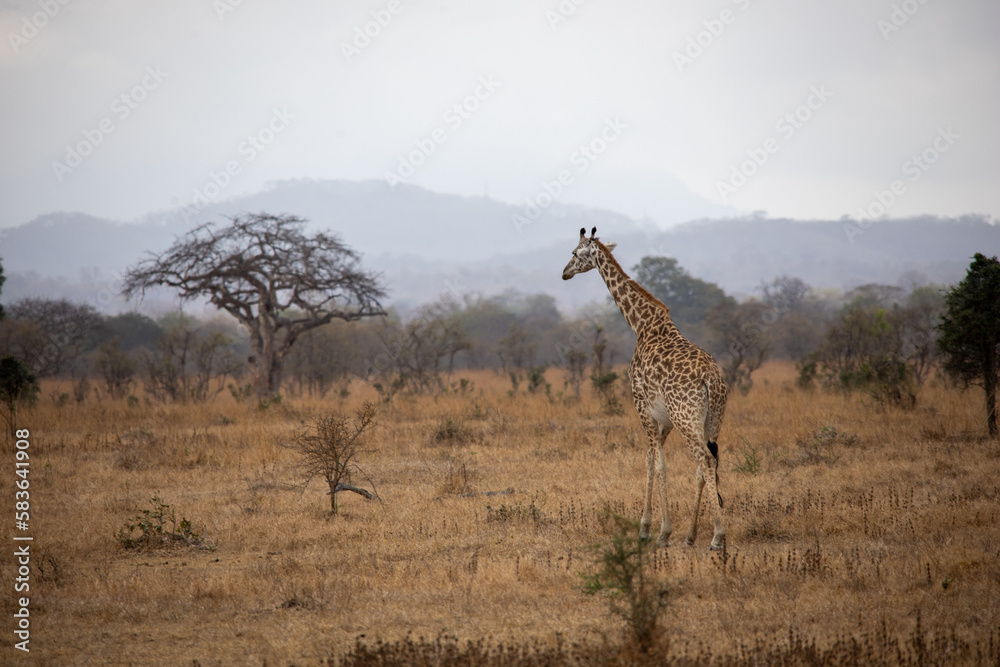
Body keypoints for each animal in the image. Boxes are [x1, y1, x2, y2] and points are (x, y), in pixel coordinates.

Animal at [562, 227, 728, 550]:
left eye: (575, 253)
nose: (564, 273)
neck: (641, 325)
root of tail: (711, 380)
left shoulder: (642, 404)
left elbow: (658, 464)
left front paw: (658, 531)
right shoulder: (664, 419)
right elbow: (651, 460)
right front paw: (650, 528)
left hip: (687, 419)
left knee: (703, 460)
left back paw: (717, 536)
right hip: (712, 422)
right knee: (707, 464)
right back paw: (691, 535)